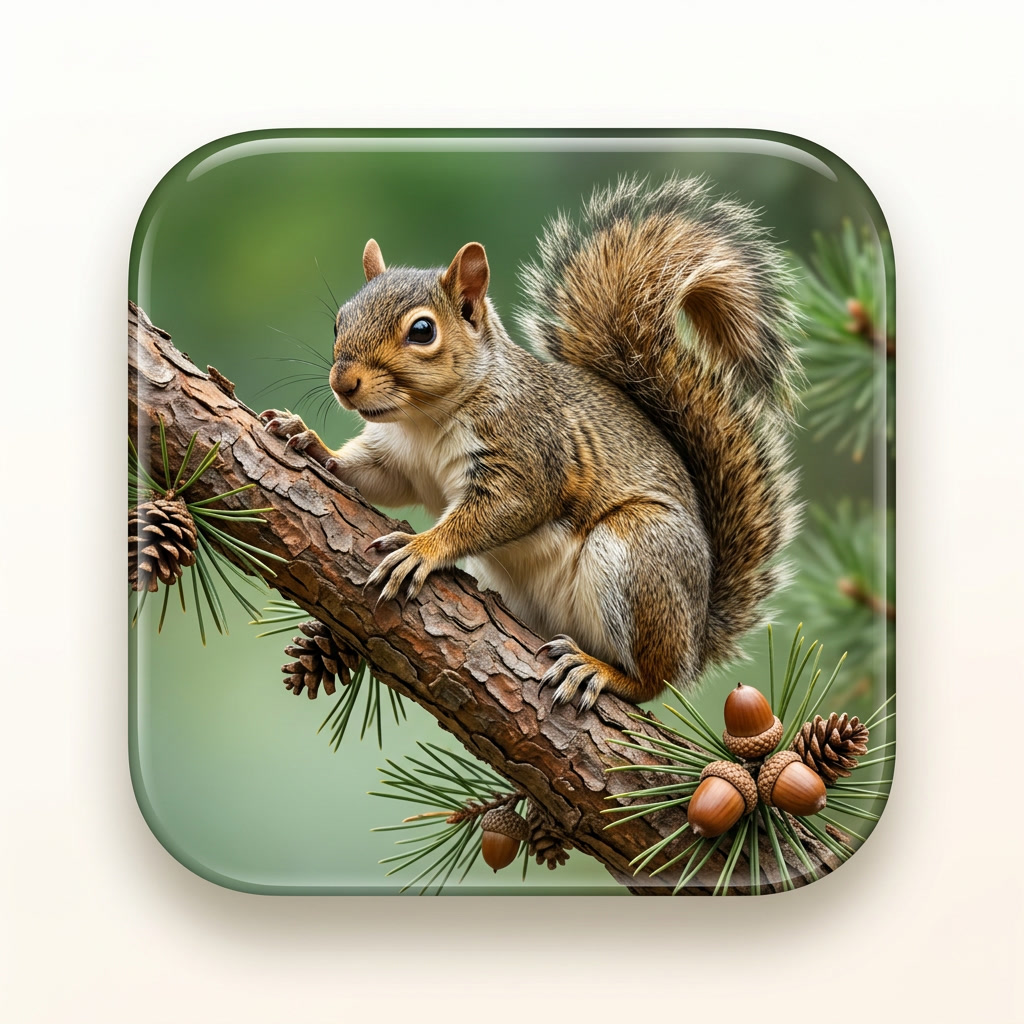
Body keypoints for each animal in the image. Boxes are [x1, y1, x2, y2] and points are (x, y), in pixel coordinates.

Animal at [261, 175, 800, 710]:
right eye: (340, 319)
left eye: (422, 330)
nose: (343, 382)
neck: (423, 422)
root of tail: (696, 635)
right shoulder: (398, 460)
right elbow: (372, 477)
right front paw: (307, 440)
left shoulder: (529, 452)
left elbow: (505, 508)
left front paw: (422, 548)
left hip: (638, 552)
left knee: (653, 680)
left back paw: (599, 671)